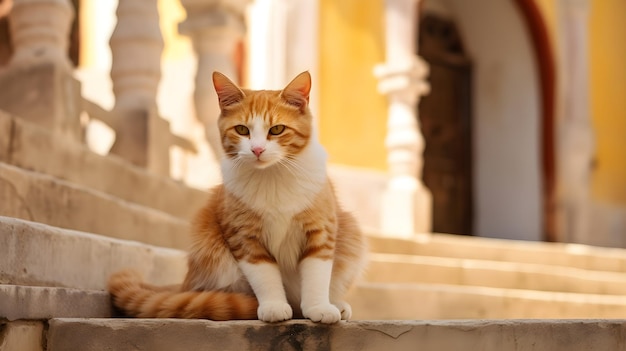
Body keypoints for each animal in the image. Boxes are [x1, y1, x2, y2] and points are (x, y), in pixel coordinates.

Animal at [108, 70, 366, 324]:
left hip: (351, 231)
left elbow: (317, 274)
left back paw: (336, 304)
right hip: (209, 244)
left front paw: (319, 307)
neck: (272, 177)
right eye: (242, 130)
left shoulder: (321, 231)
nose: (257, 149)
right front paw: (273, 306)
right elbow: (264, 275)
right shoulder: (244, 237)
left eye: (277, 129)